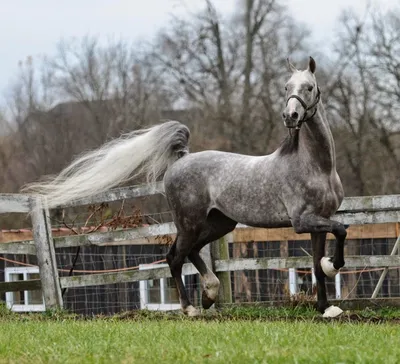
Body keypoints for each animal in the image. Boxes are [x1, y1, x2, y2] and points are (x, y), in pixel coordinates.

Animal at [23, 55, 346, 318]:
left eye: (309, 87)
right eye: (286, 87)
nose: (290, 116)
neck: (316, 166)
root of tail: (182, 159)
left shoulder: (318, 220)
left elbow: (317, 263)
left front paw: (326, 307)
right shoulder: (302, 221)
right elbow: (341, 230)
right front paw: (334, 266)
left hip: (218, 223)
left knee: (191, 253)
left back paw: (209, 295)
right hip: (190, 222)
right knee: (175, 257)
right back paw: (190, 307)